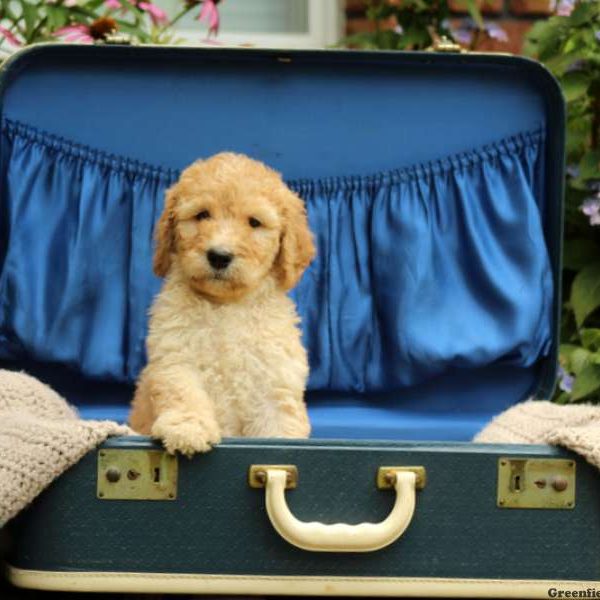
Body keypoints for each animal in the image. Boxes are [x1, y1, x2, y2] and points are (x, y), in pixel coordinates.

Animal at [129, 154, 316, 454]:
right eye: (202, 214)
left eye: (254, 222)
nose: (219, 256)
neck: (226, 306)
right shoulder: (175, 354)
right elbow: (183, 392)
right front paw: (187, 428)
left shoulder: (274, 379)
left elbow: (278, 421)